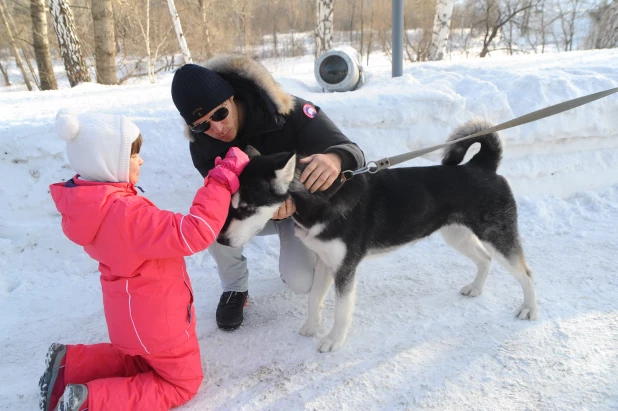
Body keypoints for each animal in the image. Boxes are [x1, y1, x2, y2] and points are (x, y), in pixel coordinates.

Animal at [219, 120, 536, 352]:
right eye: (230, 203)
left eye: (246, 207)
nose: (221, 241)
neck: (322, 200)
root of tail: (481, 165)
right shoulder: (324, 262)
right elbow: (314, 298)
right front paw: (312, 325)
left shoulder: (345, 269)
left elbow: (341, 310)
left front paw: (333, 340)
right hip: (456, 235)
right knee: (484, 259)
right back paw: (476, 288)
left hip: (497, 237)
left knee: (526, 273)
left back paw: (529, 309)